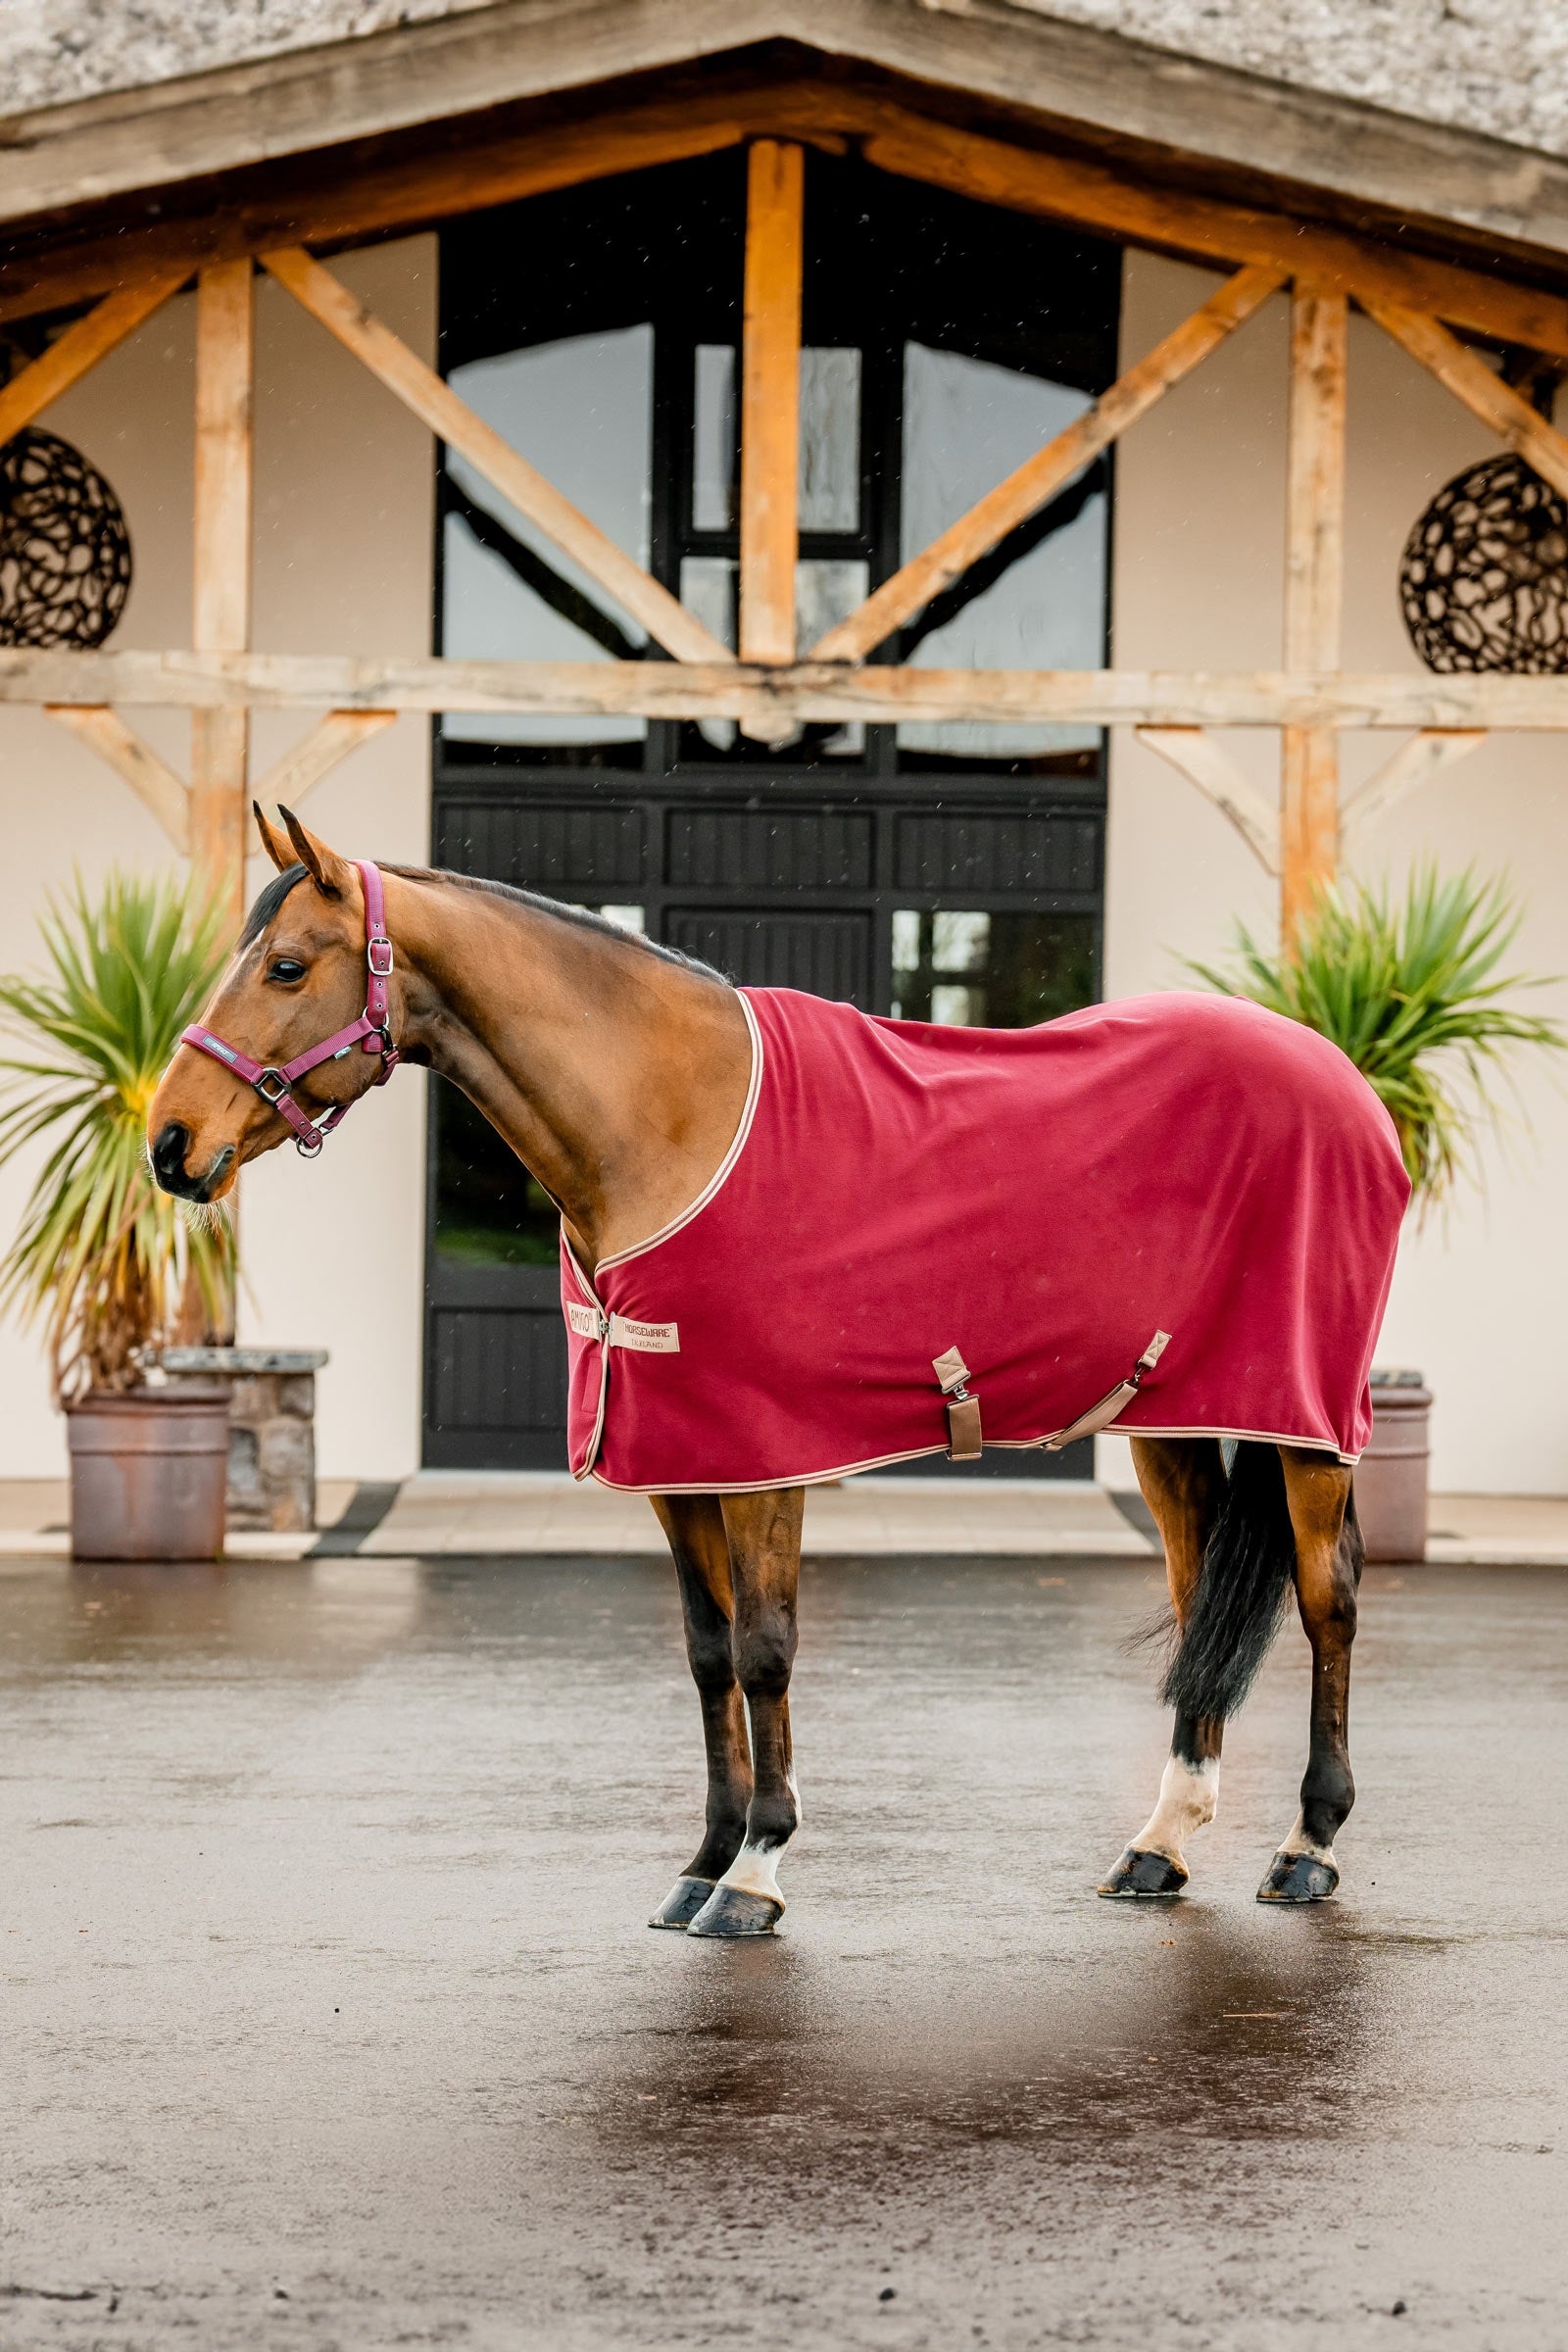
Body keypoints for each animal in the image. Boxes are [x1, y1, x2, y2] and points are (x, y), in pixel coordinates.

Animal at [148, 805, 1408, 1936]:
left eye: (287, 965)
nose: (169, 1144)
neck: (670, 1121)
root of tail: (1344, 1079)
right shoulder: (678, 1461)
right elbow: (709, 1658)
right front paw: (700, 1863)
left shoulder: (764, 1461)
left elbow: (765, 1652)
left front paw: (755, 1874)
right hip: (1175, 1421)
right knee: (1200, 1600)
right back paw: (1158, 1847)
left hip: (1305, 1425)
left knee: (1327, 1597)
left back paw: (1307, 1847)